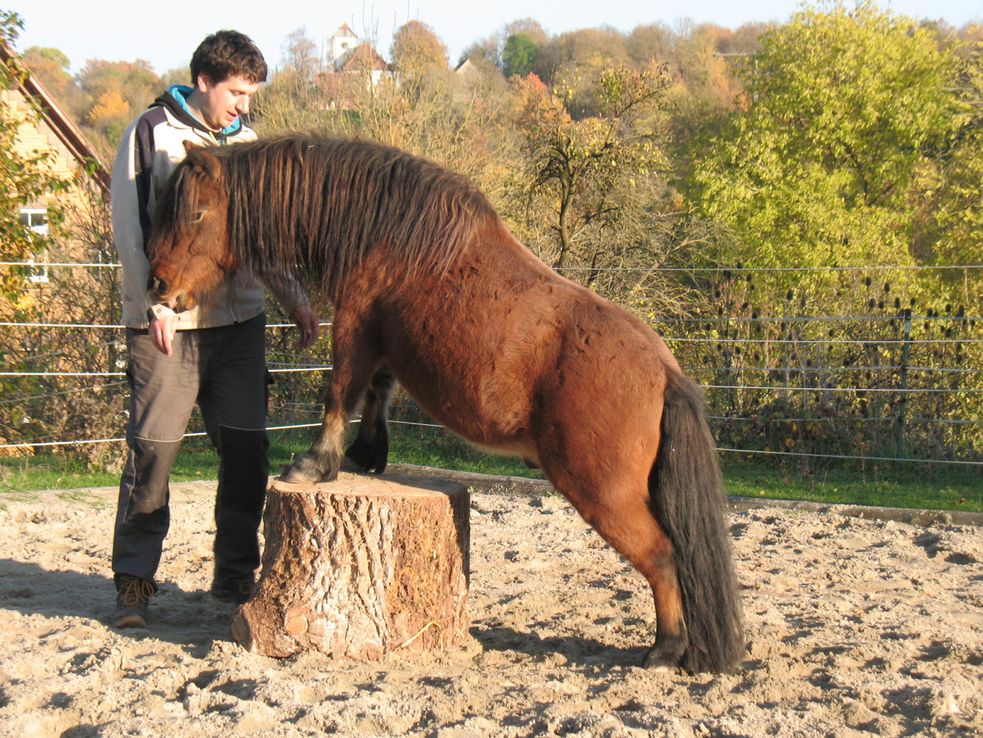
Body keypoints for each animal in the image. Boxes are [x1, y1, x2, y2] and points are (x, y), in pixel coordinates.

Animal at [146, 134, 744, 672]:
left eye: (195, 212)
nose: (158, 284)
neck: (385, 229)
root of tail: (665, 373)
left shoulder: (357, 325)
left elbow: (341, 393)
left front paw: (317, 464)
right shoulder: (383, 340)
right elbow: (377, 394)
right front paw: (366, 456)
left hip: (605, 496)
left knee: (664, 558)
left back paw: (664, 652)